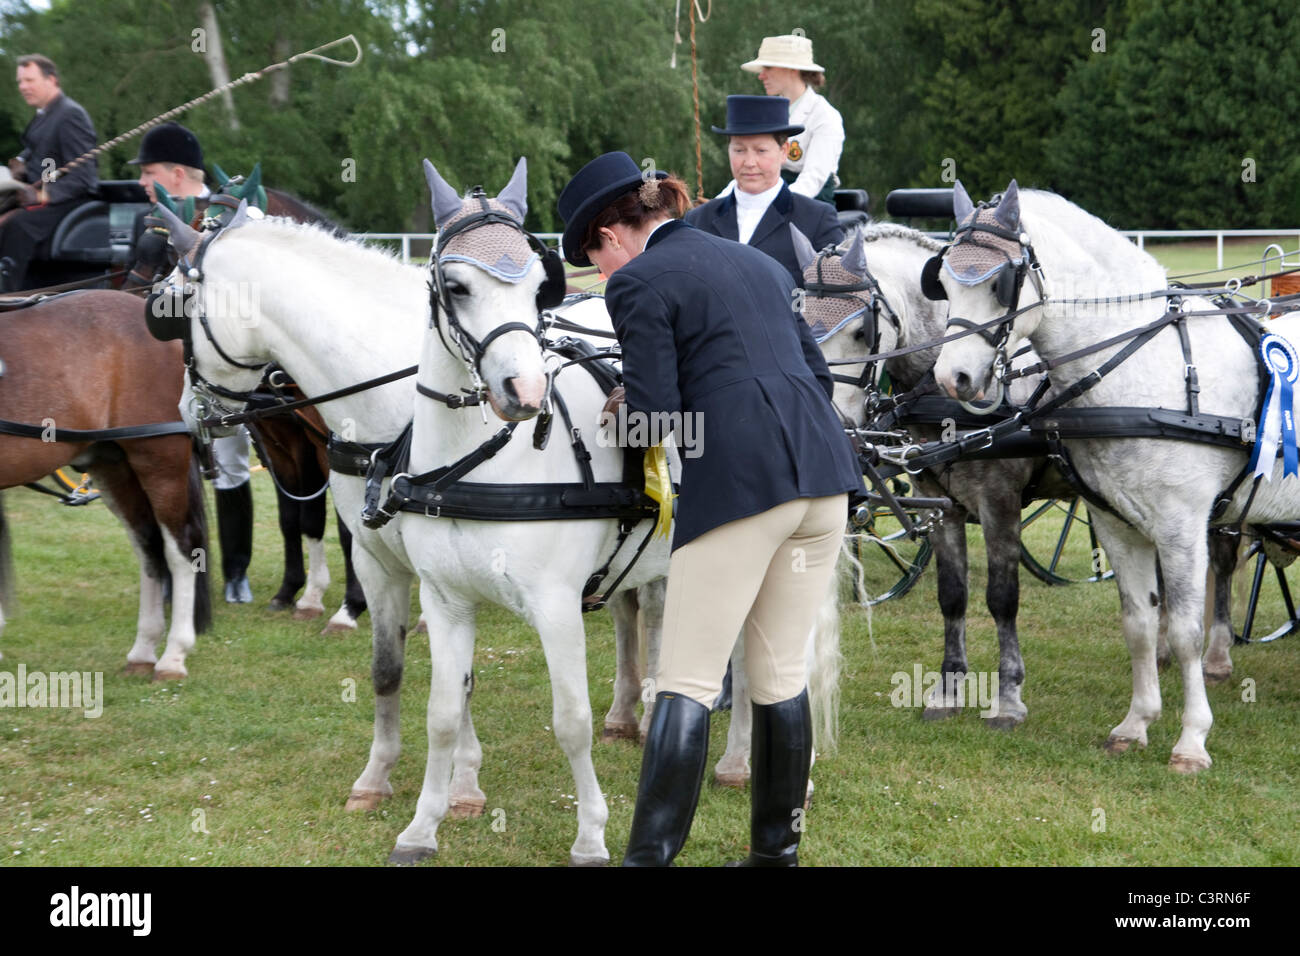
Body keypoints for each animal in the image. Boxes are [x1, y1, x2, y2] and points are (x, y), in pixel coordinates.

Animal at [0, 287, 210, 676]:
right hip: (113, 465)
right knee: (149, 547)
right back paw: (143, 650)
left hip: (160, 459)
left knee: (181, 548)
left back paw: (174, 655)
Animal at [935, 180, 1289, 780]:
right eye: (940, 280)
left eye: (1000, 281)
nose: (950, 377)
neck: (1143, 365)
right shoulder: (1115, 521)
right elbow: (1139, 623)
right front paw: (1136, 723)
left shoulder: (1181, 523)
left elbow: (1185, 631)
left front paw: (1191, 740)